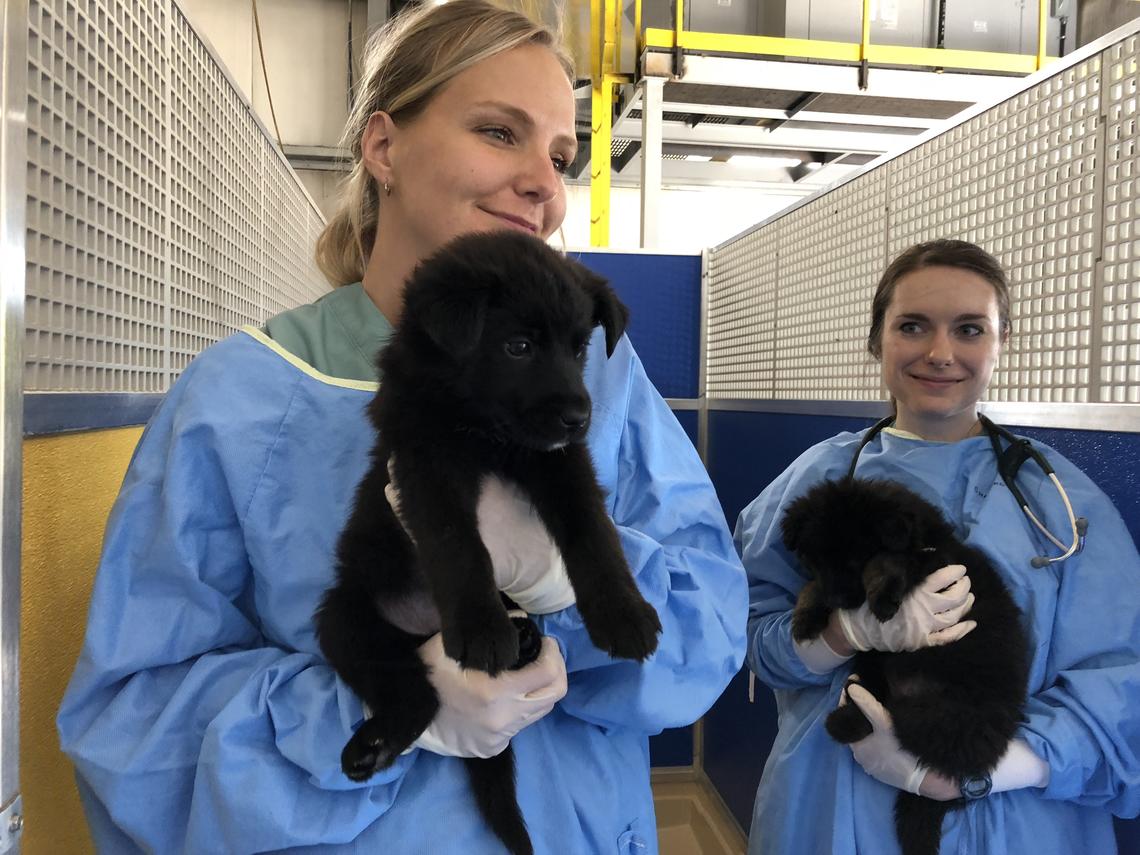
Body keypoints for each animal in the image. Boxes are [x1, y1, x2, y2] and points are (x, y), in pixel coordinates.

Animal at [316, 231, 665, 855]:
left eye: (580, 347)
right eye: (518, 346)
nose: (579, 416)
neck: (483, 430)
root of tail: (422, 630)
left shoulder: (561, 464)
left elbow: (594, 532)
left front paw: (622, 613)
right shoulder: (425, 463)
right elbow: (457, 545)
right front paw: (480, 628)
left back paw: (524, 638)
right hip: (345, 619)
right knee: (416, 694)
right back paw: (377, 743)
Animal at [784, 478, 1035, 852]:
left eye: (856, 559)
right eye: (817, 561)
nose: (836, 601)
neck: (925, 537)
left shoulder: (936, 564)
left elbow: (890, 560)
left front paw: (882, 594)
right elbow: (811, 586)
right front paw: (806, 615)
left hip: (935, 713)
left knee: (893, 722)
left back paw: (847, 721)